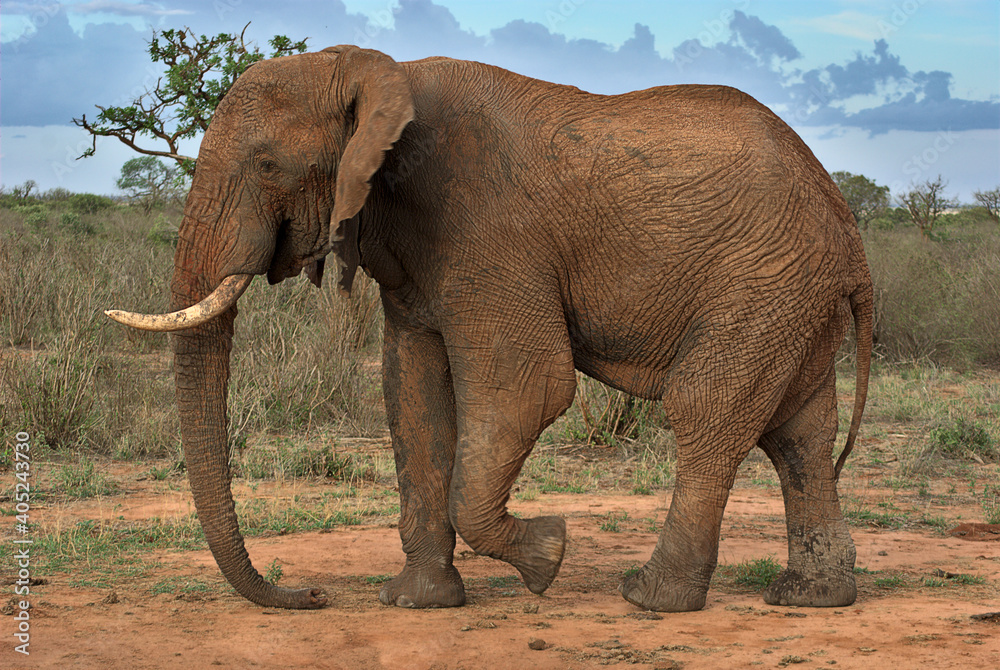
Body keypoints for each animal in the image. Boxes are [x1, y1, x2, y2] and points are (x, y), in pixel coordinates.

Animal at [107, 45, 873, 612]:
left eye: (266, 165)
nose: (313, 594)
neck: (374, 73)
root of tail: (846, 226)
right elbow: (412, 393)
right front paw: (418, 602)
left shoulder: (489, 231)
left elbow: (528, 389)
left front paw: (548, 556)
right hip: (792, 295)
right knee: (799, 434)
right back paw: (809, 598)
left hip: (763, 279)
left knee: (706, 411)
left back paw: (650, 598)